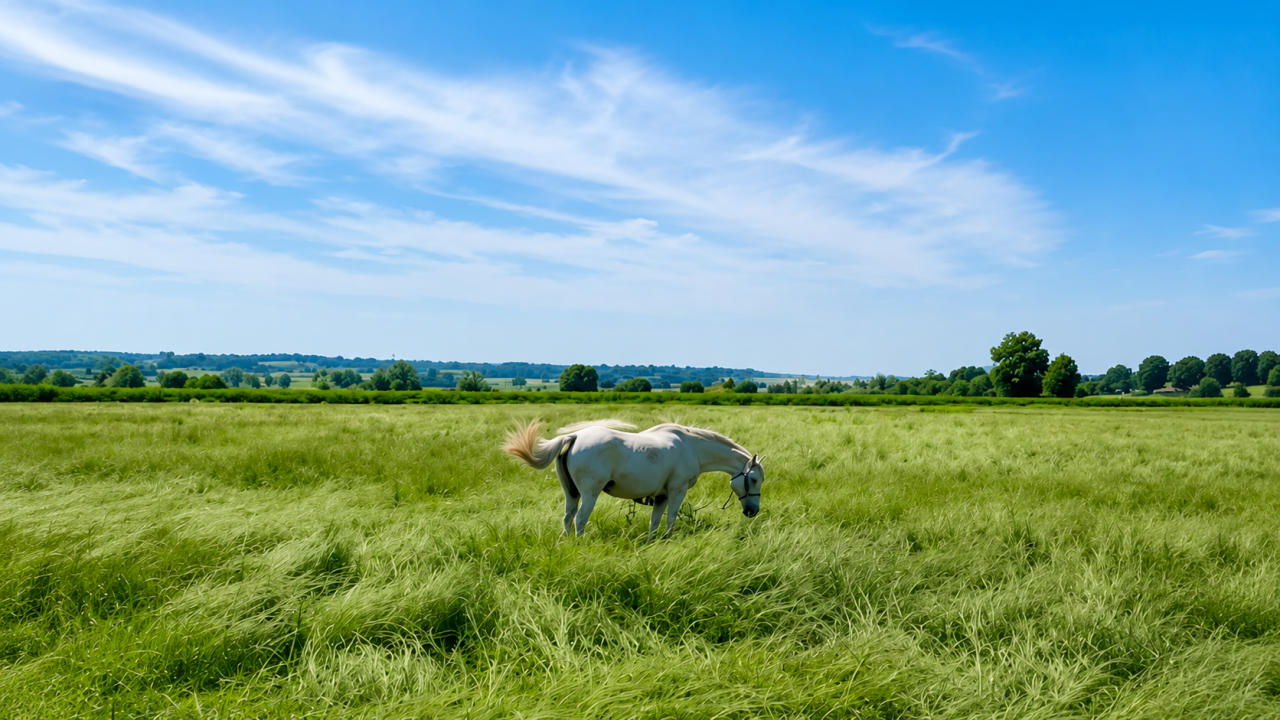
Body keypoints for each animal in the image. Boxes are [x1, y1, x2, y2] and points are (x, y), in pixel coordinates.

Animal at [503, 419, 764, 540]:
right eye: (753, 480)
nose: (752, 511)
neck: (691, 446)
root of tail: (575, 436)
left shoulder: (661, 496)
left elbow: (654, 522)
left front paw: (653, 543)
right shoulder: (677, 491)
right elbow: (670, 519)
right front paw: (668, 540)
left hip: (571, 494)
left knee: (568, 519)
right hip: (589, 495)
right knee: (580, 520)